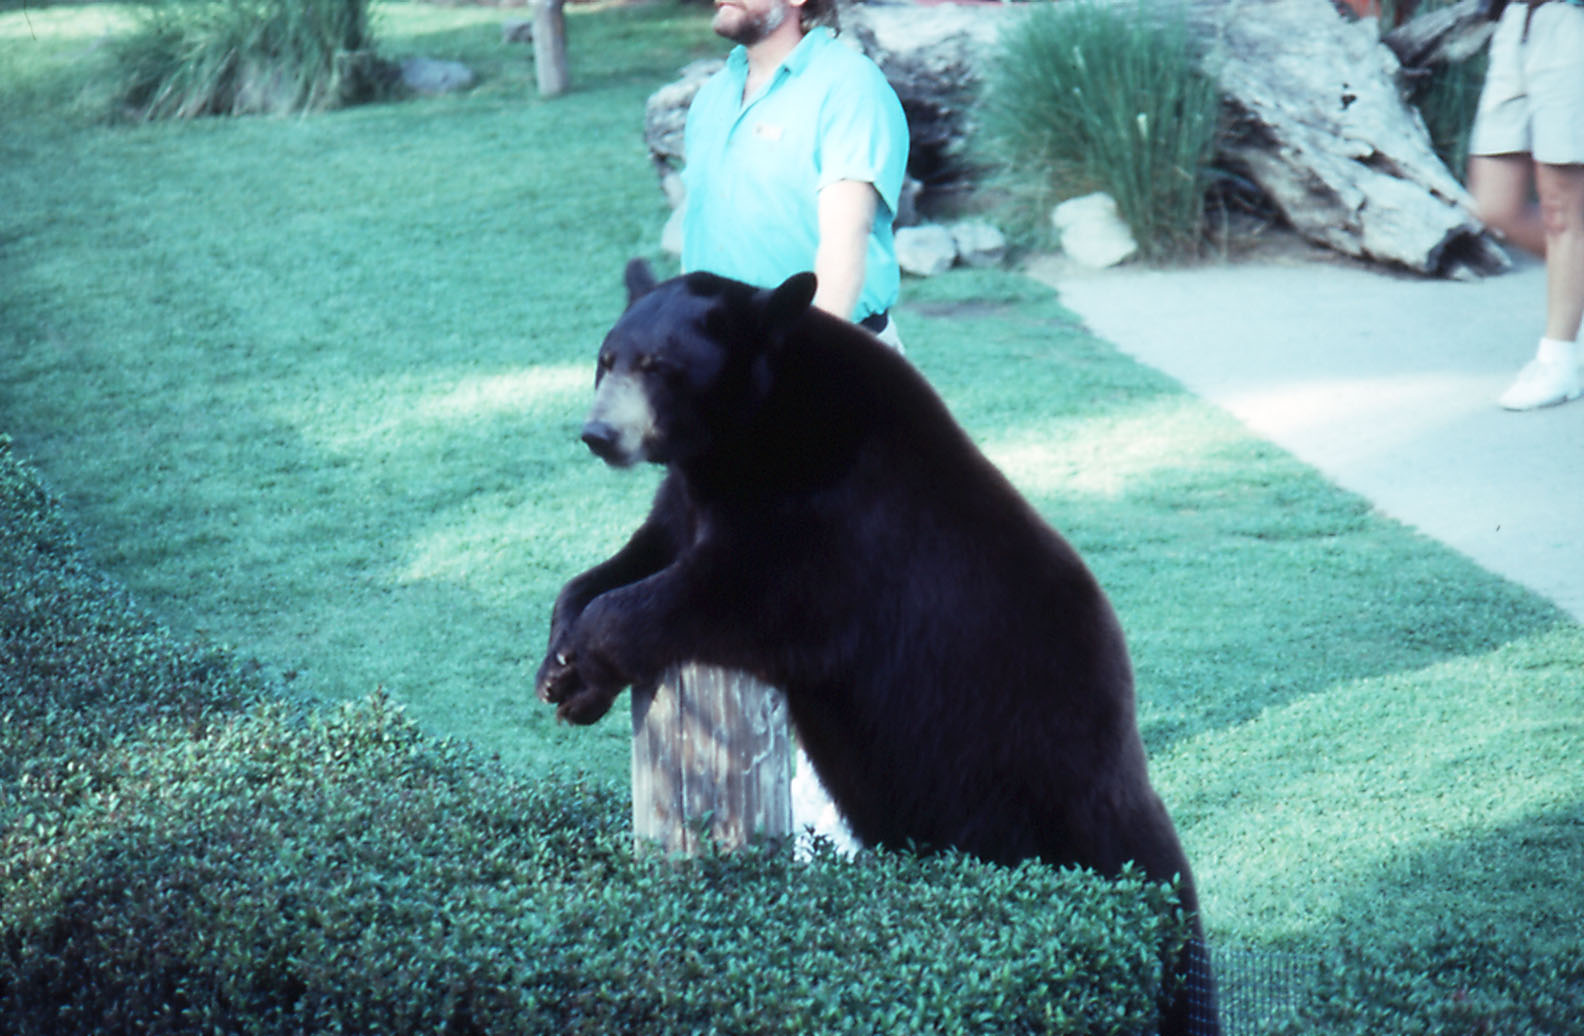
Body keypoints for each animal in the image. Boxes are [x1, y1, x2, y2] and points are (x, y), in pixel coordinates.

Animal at [536, 260, 1218, 1036]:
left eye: (659, 366)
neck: (755, 431)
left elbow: (732, 588)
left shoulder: (833, 519)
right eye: (606, 358)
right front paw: (559, 662)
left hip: (1049, 776)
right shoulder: (694, 493)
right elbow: (631, 558)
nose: (598, 433)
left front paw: (586, 665)